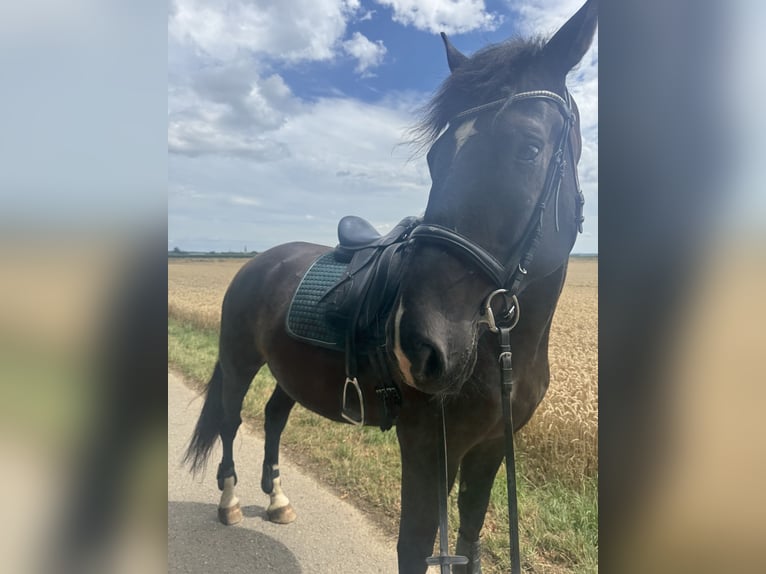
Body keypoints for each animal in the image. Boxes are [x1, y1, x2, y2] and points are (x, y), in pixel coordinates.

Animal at [184, 2, 597, 572]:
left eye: (529, 148)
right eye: (435, 157)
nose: (418, 345)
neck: (506, 348)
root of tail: (259, 261)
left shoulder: (491, 449)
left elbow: (469, 541)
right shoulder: (427, 447)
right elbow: (416, 546)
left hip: (288, 369)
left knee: (272, 416)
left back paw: (278, 498)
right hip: (240, 358)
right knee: (229, 419)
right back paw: (230, 501)